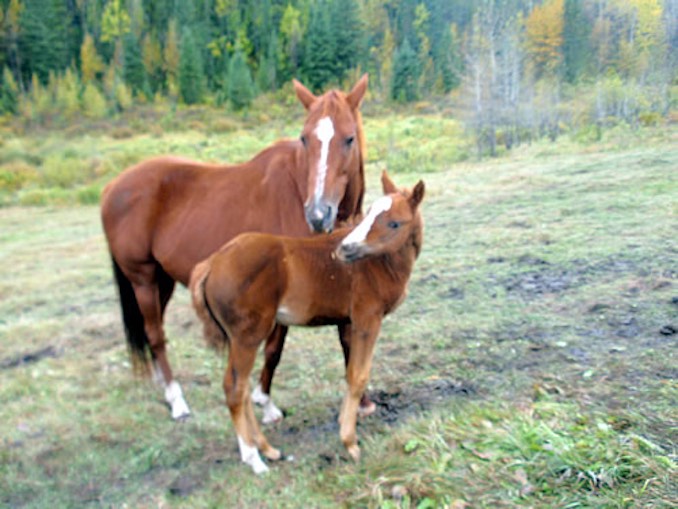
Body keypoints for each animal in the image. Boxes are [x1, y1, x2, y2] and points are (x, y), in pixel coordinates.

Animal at [99, 73, 372, 418]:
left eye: (349, 139)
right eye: (304, 139)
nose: (318, 214)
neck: (297, 189)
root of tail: (112, 187)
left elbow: (346, 333)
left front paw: (362, 400)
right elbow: (275, 346)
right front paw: (265, 401)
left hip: (161, 279)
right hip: (142, 278)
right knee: (155, 335)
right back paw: (176, 400)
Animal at [191, 171, 424, 472]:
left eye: (394, 223)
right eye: (370, 214)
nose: (344, 250)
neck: (380, 264)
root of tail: (211, 263)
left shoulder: (348, 323)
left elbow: (349, 371)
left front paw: (347, 421)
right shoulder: (367, 320)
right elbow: (359, 375)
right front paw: (350, 443)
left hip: (239, 339)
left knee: (240, 389)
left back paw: (268, 449)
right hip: (248, 336)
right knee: (234, 389)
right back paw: (254, 458)